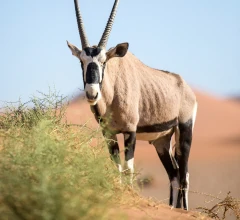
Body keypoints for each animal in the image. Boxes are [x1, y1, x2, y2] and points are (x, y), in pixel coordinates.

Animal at [67, 0, 197, 210]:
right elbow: (117, 167)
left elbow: (128, 168)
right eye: (82, 61)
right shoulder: (109, 133)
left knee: (184, 174)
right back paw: (172, 208)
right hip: (162, 142)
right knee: (174, 174)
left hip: (184, 131)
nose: (92, 93)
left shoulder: (130, 131)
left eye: (103, 62)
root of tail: (184, 86)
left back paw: (183, 210)